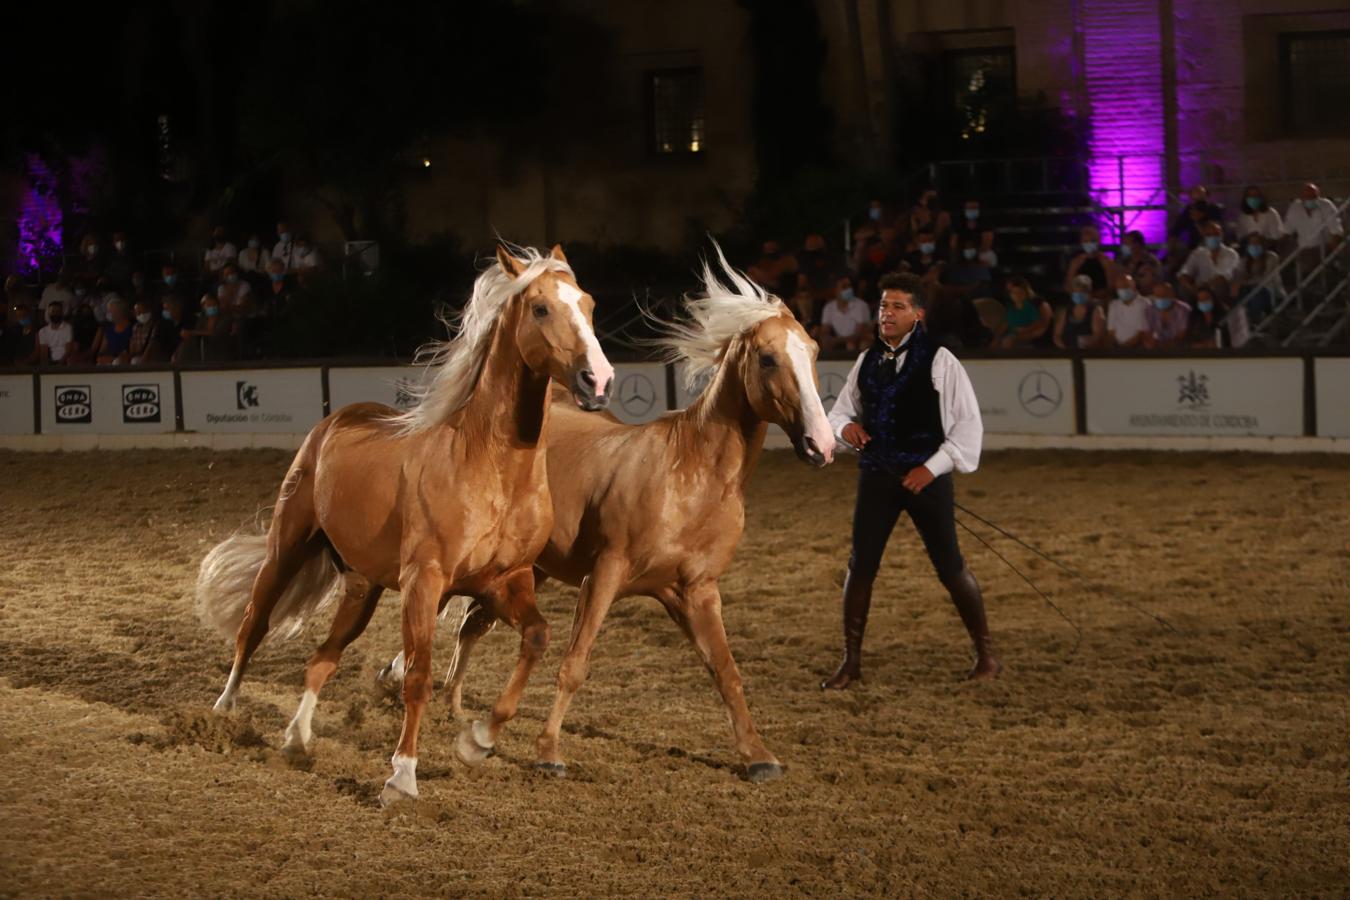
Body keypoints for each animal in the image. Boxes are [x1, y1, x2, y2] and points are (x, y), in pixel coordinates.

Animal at [195, 244, 618, 804]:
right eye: (541, 308)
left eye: (588, 304)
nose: (599, 380)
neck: (491, 469)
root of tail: (336, 419)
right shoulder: (424, 582)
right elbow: (418, 678)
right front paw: (401, 777)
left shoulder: (507, 580)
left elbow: (537, 637)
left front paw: (478, 741)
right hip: (286, 551)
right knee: (253, 624)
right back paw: (225, 709)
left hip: (362, 587)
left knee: (323, 657)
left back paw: (297, 738)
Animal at [380, 249, 837, 782]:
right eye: (767, 358)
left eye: (813, 351)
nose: (822, 444)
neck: (691, 477)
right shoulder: (603, 575)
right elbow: (575, 663)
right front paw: (548, 750)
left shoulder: (697, 591)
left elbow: (726, 671)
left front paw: (758, 755)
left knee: (472, 624)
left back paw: (455, 707)